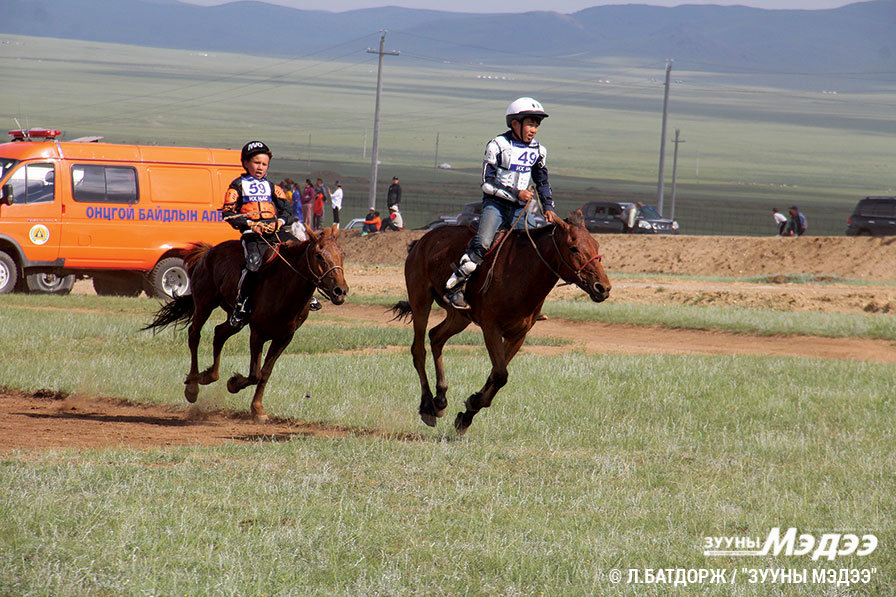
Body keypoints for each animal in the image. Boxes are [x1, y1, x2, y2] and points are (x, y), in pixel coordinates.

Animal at [143, 226, 346, 422]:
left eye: (342, 254)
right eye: (319, 255)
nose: (340, 291)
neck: (284, 286)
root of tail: (209, 251)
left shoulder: (284, 337)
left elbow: (265, 373)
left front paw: (257, 409)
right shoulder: (257, 333)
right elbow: (255, 374)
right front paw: (233, 384)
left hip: (235, 319)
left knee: (219, 334)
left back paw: (208, 375)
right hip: (204, 304)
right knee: (194, 335)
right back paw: (193, 385)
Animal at [390, 212, 608, 436]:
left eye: (596, 245)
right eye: (573, 247)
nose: (603, 287)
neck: (522, 272)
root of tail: (421, 241)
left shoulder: (518, 335)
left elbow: (495, 375)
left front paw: (467, 414)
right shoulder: (491, 329)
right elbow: (501, 375)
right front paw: (472, 404)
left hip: (459, 317)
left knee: (436, 337)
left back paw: (440, 399)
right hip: (420, 301)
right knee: (419, 350)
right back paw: (427, 406)